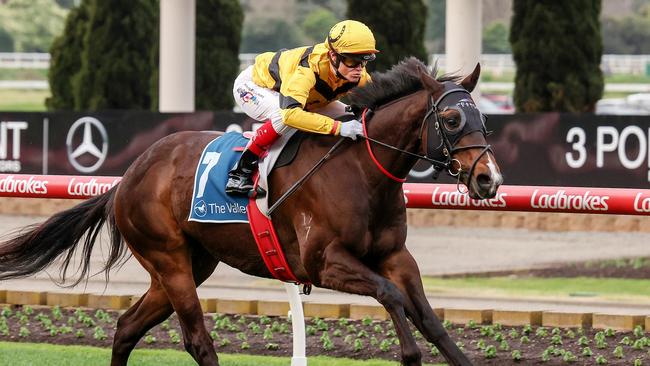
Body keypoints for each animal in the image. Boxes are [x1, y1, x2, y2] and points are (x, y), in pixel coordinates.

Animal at [0, 58, 502, 366]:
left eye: (485, 120)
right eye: (452, 120)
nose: (488, 179)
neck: (361, 169)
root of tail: (127, 177)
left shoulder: (395, 256)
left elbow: (431, 319)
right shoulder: (325, 263)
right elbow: (391, 296)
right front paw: (409, 354)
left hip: (189, 263)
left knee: (126, 327)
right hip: (168, 258)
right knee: (197, 339)